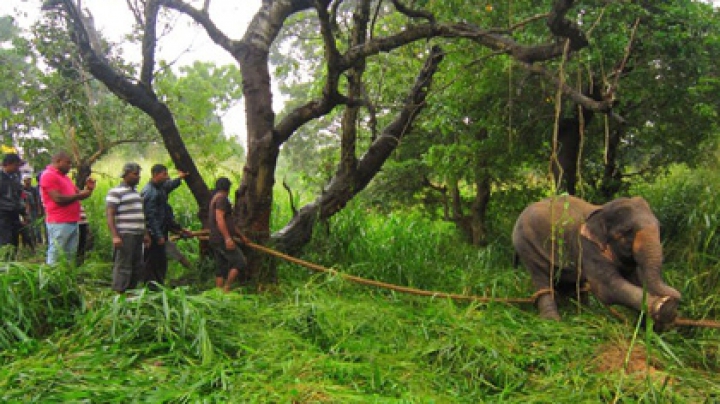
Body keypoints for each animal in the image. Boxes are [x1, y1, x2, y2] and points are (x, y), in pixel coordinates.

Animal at [512, 195, 680, 328]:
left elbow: (636, 279)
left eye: (659, 227)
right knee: (541, 277)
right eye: (627, 232)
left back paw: (583, 314)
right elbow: (607, 288)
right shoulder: (587, 247)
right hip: (526, 244)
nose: (676, 296)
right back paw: (553, 321)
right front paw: (665, 308)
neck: (601, 209)